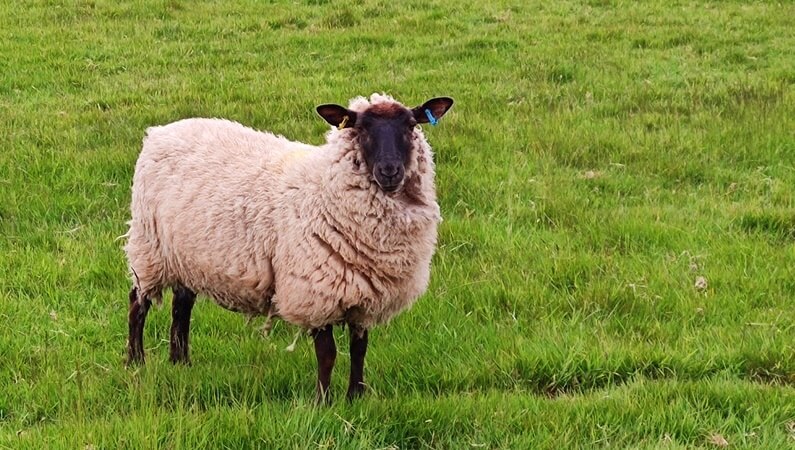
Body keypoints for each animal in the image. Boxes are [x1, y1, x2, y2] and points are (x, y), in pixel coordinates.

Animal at [124, 93, 454, 401]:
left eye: (411, 126)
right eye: (361, 129)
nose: (389, 170)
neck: (324, 188)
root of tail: (161, 131)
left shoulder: (364, 295)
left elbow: (359, 349)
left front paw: (356, 396)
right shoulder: (315, 291)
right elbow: (328, 353)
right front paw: (323, 402)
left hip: (186, 255)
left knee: (182, 305)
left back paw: (180, 362)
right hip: (149, 247)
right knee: (138, 303)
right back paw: (135, 361)